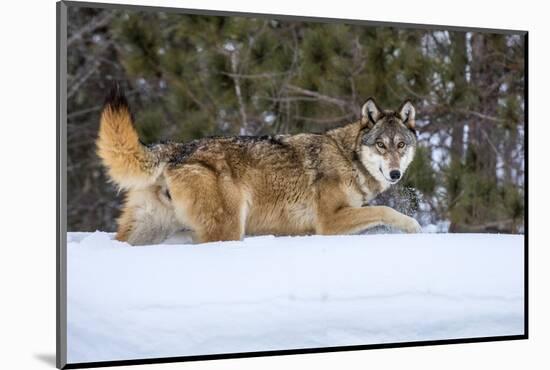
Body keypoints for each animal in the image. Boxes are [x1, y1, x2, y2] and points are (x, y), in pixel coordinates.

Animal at [98, 85, 422, 244]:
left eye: (400, 145)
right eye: (381, 145)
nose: (395, 173)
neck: (347, 157)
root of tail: (178, 148)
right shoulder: (329, 222)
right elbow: (385, 210)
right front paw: (415, 227)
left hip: (147, 230)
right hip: (228, 229)